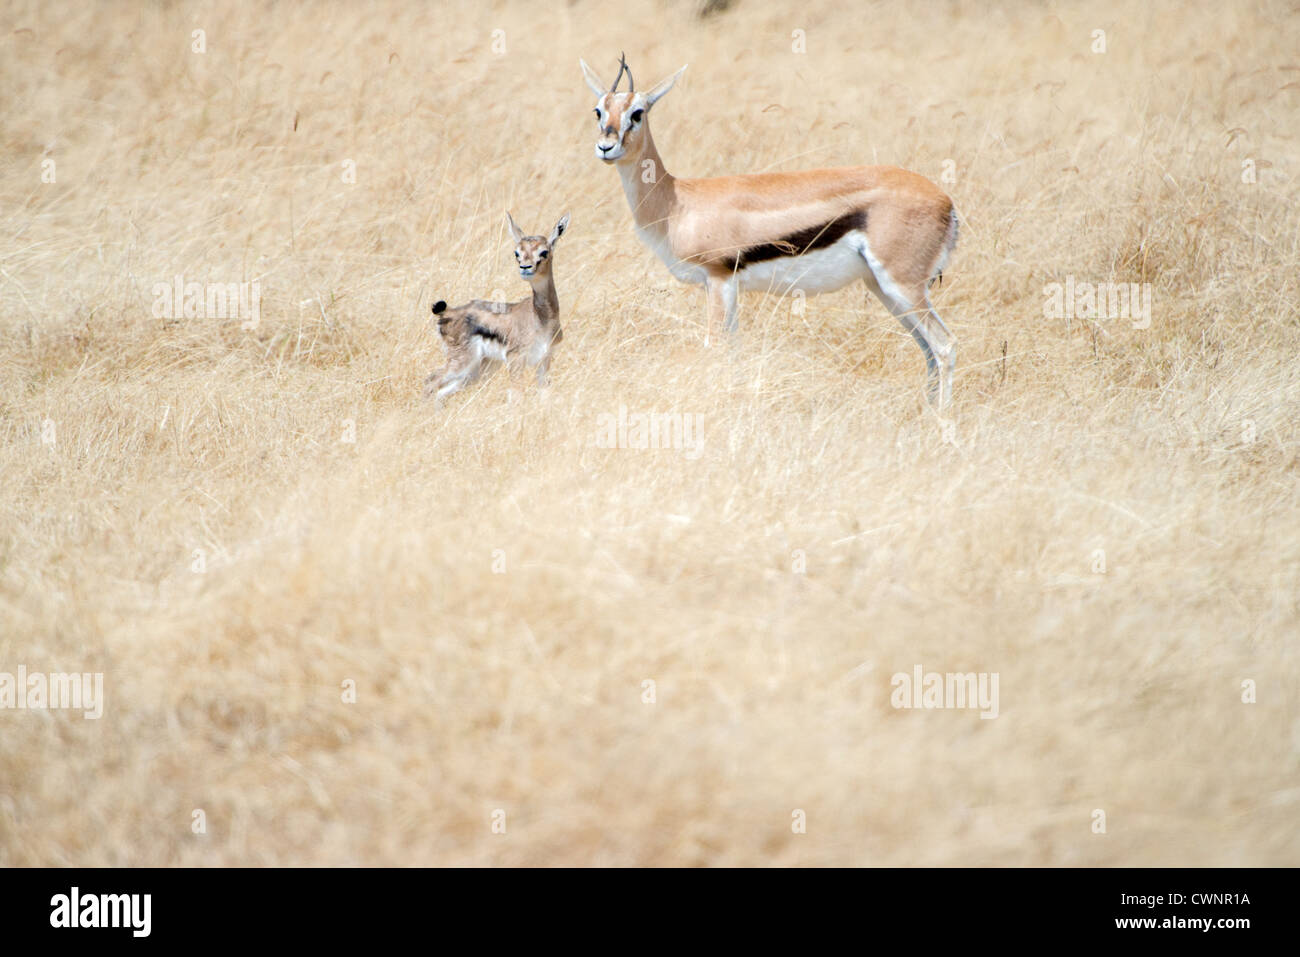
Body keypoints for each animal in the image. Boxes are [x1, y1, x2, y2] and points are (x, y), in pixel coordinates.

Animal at [425, 212, 570, 404]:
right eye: (517, 253)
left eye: (544, 252)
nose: (525, 267)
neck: (541, 318)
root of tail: (447, 313)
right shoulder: (515, 360)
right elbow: (516, 395)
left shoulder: (544, 360)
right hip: (461, 363)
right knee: (430, 381)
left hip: (475, 371)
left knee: (440, 391)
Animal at [579, 55, 960, 407]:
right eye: (599, 111)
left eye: (637, 113)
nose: (606, 147)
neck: (677, 201)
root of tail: (946, 202)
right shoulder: (723, 287)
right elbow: (733, 351)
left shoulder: (719, 279)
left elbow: (715, 347)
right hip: (884, 289)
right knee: (927, 348)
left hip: (903, 286)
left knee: (944, 345)